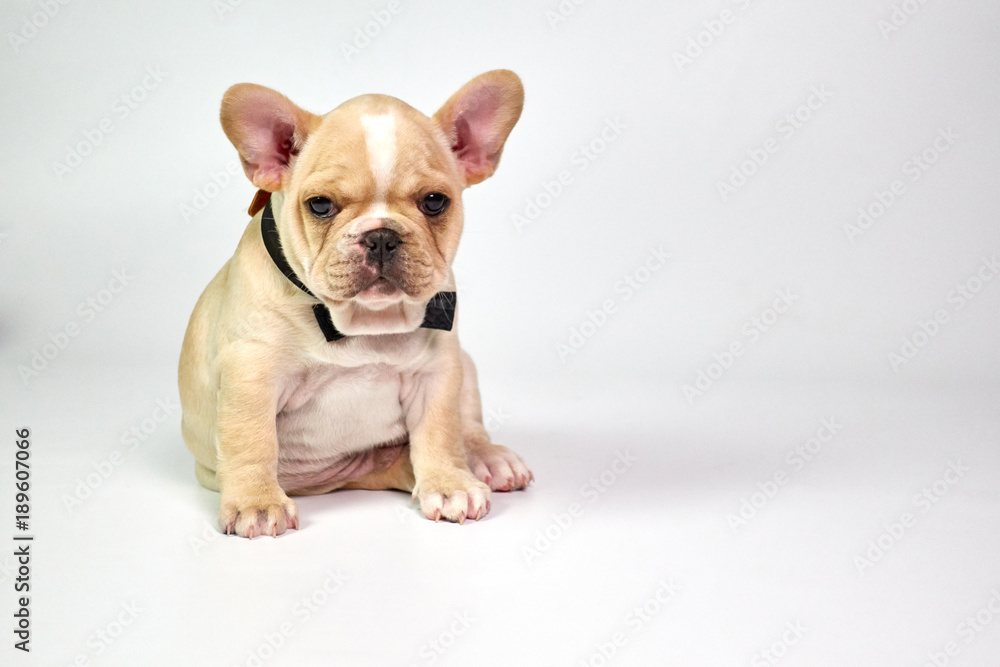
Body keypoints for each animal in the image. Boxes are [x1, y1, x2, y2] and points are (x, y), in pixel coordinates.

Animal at [178, 70, 532, 536]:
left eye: (434, 201)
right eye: (321, 205)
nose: (381, 235)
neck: (362, 323)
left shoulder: (438, 372)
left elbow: (441, 430)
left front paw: (449, 483)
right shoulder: (251, 376)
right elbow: (251, 441)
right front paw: (256, 502)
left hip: (466, 366)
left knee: (467, 428)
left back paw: (487, 461)